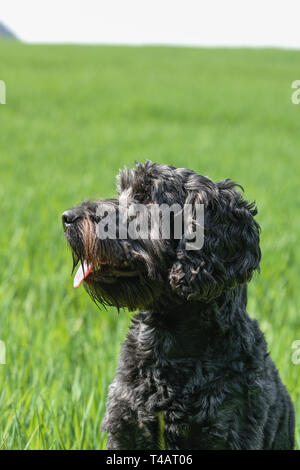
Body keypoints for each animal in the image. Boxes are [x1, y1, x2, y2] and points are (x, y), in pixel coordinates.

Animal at [62, 162, 294, 452]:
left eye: (145, 197)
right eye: (121, 191)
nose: (67, 217)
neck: (168, 344)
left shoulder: (233, 433)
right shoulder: (122, 427)